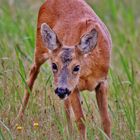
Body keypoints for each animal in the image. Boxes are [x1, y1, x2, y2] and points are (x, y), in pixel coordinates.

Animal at [17, 0, 111, 139]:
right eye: (54, 65)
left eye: (76, 67)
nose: (60, 90)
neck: (87, 74)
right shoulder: (74, 88)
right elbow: (81, 121)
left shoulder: (102, 82)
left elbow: (106, 121)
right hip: (40, 48)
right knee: (32, 75)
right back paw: (18, 120)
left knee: (66, 107)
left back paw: (69, 133)